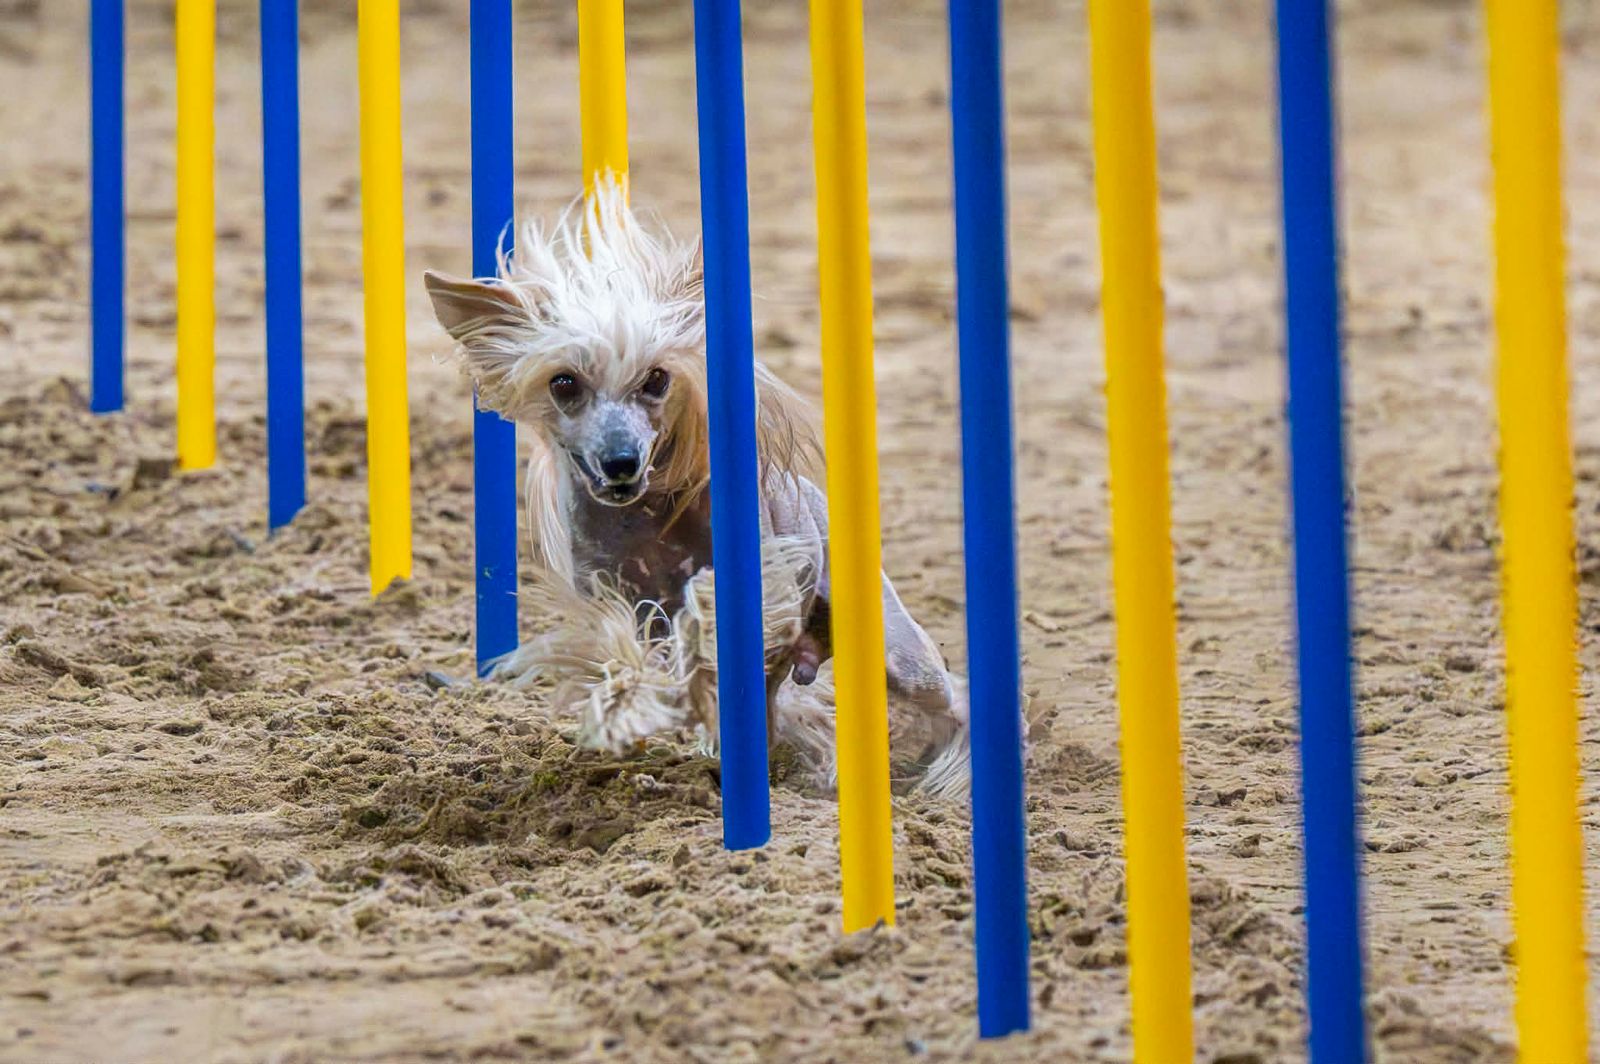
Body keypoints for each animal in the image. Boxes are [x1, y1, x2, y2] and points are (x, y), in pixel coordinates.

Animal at [424, 177, 969, 795]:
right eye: (564, 383)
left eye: (656, 379)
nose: (620, 461)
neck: (644, 524)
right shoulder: (618, 598)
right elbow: (629, 651)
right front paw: (627, 704)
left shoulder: (757, 580)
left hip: (899, 654)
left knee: (952, 697)